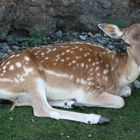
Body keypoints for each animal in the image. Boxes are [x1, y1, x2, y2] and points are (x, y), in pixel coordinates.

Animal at [0, 23, 140, 124]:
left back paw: (72, 103)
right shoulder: (88, 90)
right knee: (41, 109)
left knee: (23, 101)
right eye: (126, 43)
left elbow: (128, 91)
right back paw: (96, 118)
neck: (115, 75)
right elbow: (120, 101)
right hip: (30, 77)